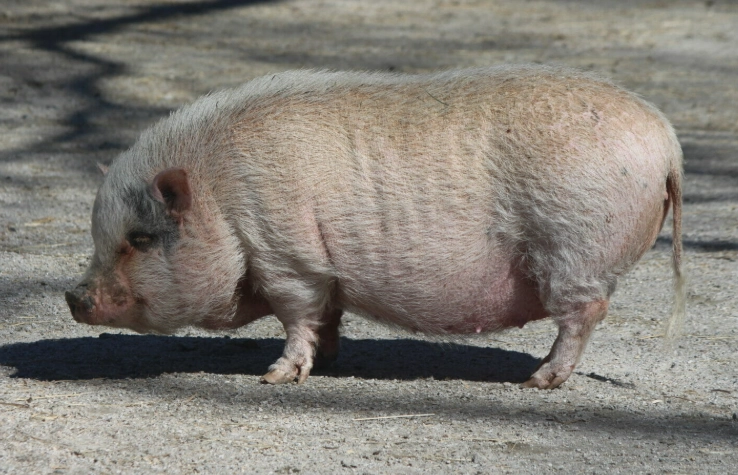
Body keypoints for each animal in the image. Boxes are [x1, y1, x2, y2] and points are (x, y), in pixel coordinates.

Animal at [66, 65, 685, 389]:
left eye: (140, 239)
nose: (73, 296)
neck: (222, 197)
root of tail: (667, 141)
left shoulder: (287, 258)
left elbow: (297, 315)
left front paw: (274, 377)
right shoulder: (322, 275)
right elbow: (327, 316)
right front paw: (328, 361)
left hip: (576, 248)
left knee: (583, 314)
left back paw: (537, 380)